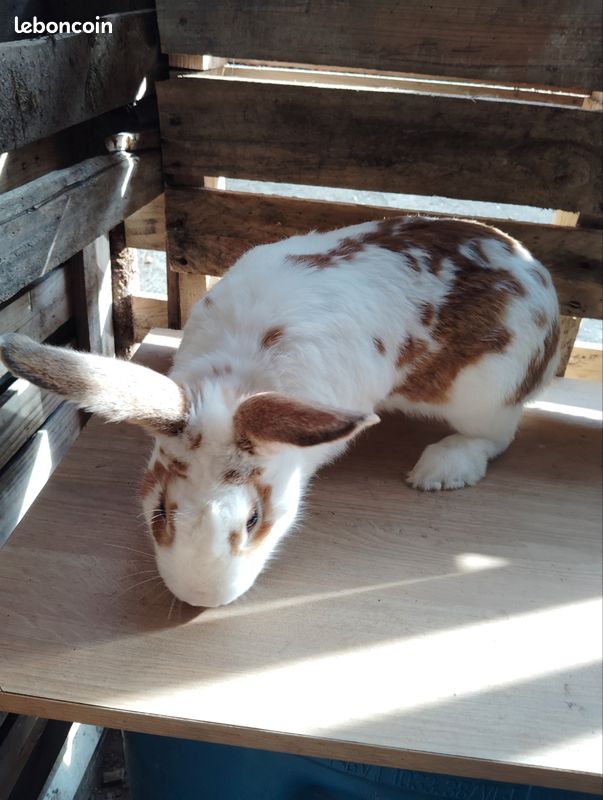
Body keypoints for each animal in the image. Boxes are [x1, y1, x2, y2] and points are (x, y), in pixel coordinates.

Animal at [0, 216, 560, 607]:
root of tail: (540, 281)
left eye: (252, 521)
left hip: (484, 392)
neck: (238, 382)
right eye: (159, 511)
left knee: (495, 436)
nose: (202, 598)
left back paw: (439, 470)